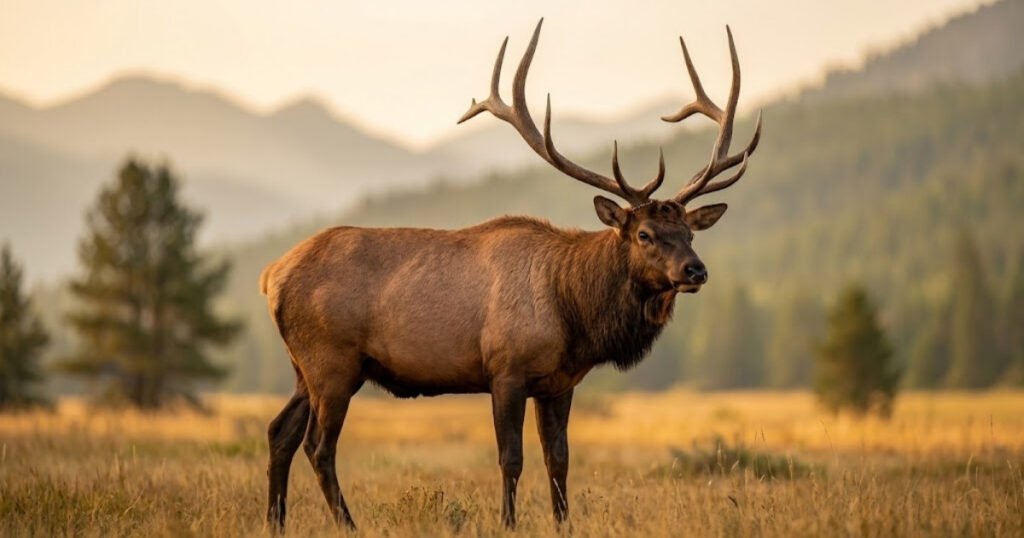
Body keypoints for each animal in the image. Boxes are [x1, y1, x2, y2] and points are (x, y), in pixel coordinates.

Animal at [260, 19, 761, 531]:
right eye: (644, 233)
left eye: (689, 232)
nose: (696, 270)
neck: (575, 313)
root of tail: (271, 275)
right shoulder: (506, 369)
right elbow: (511, 459)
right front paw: (508, 523)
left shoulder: (560, 382)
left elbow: (558, 459)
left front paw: (564, 525)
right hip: (332, 362)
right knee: (318, 447)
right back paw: (348, 524)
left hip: (306, 367)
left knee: (279, 431)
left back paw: (275, 521)